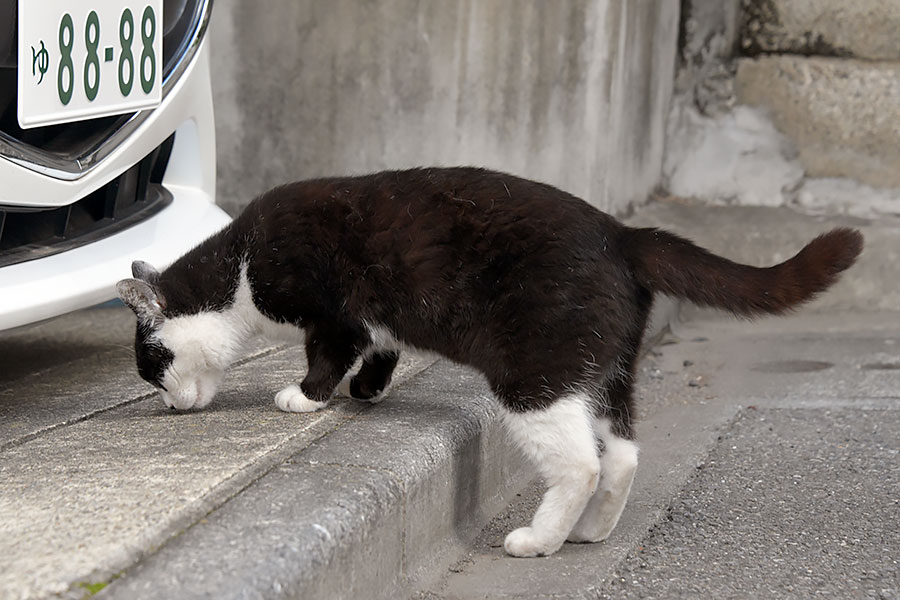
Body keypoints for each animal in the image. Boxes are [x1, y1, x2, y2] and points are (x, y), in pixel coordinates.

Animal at [116, 168, 860, 556]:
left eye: (151, 366)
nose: (165, 404)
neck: (241, 269)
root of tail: (622, 232)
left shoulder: (331, 309)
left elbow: (331, 351)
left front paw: (306, 395)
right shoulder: (377, 320)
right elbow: (383, 348)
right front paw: (370, 391)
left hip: (533, 374)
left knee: (582, 464)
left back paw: (538, 540)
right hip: (605, 369)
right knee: (622, 454)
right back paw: (593, 532)